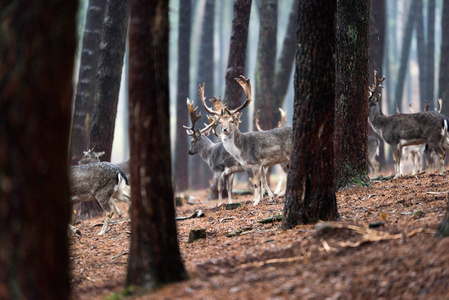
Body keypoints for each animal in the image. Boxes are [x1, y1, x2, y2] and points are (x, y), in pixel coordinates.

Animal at [201, 75, 292, 206]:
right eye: (220, 122)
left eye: (232, 121)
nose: (224, 129)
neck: (241, 151)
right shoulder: (256, 165)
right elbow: (260, 181)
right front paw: (267, 198)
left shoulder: (256, 163)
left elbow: (257, 182)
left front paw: (256, 202)